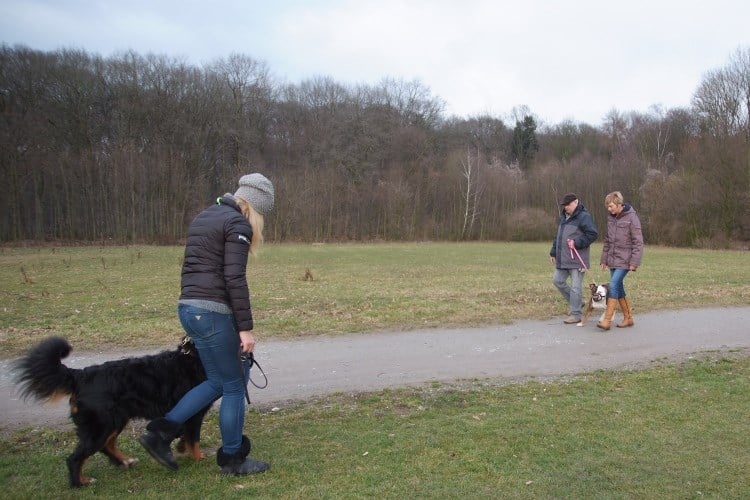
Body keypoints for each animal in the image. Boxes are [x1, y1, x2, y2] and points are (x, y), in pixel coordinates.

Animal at [13, 336, 213, 488]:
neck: (196, 357)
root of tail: (80, 376)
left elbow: (183, 433)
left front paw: (180, 446)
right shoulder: (195, 413)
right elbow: (194, 439)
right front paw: (199, 458)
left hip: (114, 421)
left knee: (106, 446)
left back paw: (124, 461)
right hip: (101, 425)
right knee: (76, 457)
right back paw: (81, 483)